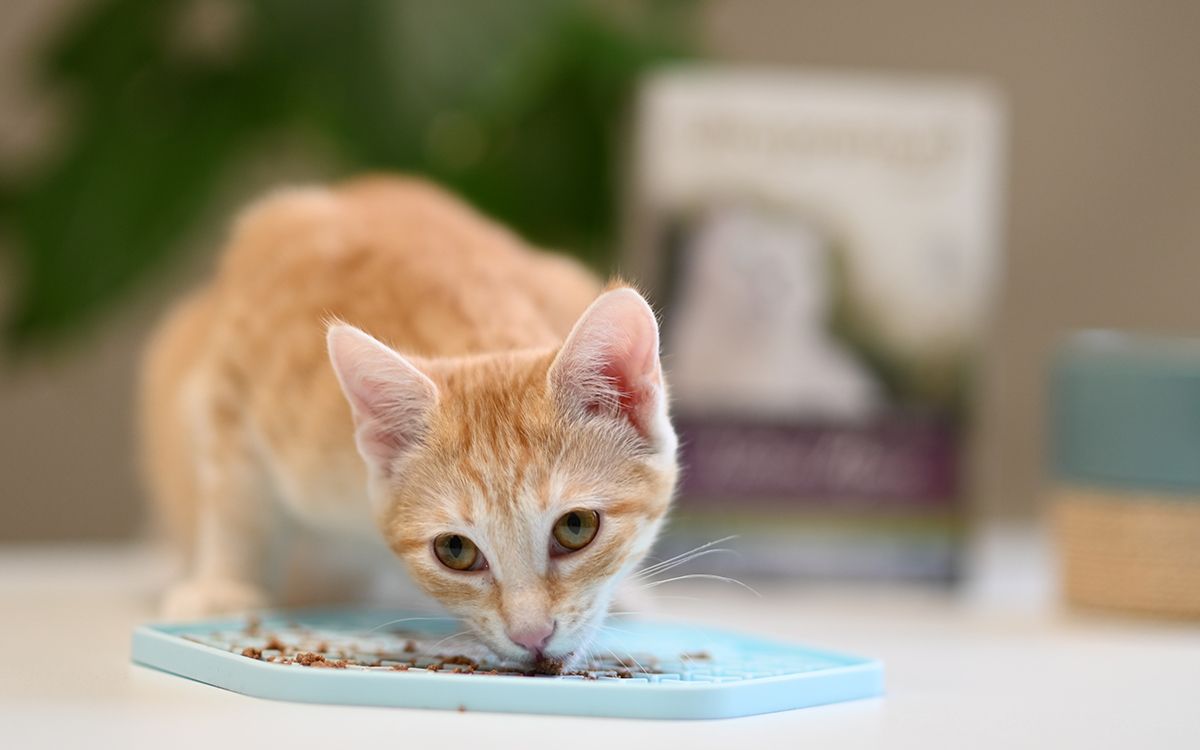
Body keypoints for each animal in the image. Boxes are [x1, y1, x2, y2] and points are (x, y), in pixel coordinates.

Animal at [140, 176, 676, 667]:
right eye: (455, 550)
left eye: (576, 527)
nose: (532, 636)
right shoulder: (236, 357)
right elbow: (235, 497)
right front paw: (225, 583)